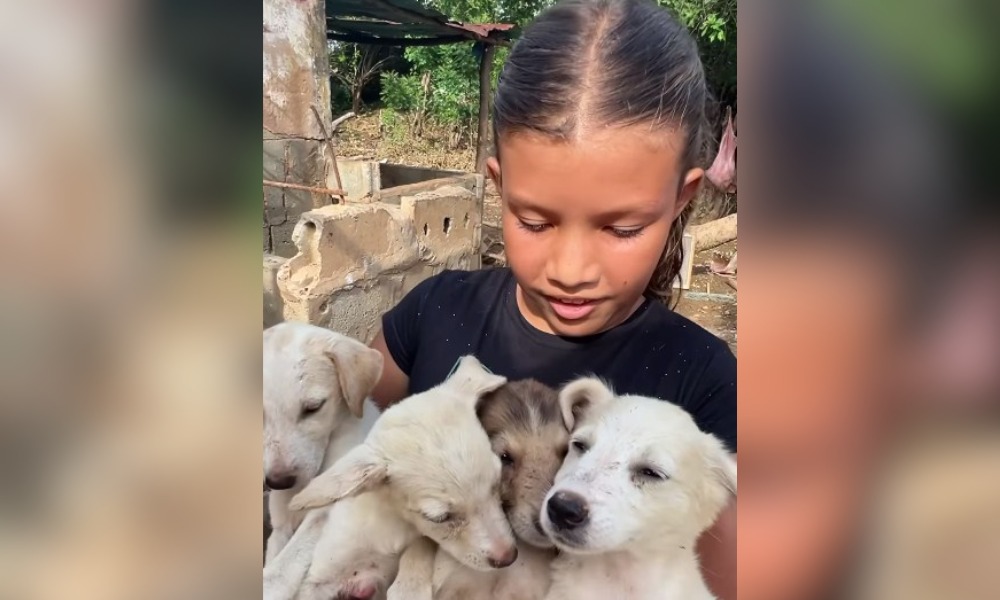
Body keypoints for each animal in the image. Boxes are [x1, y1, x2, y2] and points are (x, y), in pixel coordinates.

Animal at [282, 356, 516, 600]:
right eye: (439, 518)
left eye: (497, 483)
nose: (508, 557)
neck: (391, 527)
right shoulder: (322, 575)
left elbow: (418, 551)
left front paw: (410, 583)